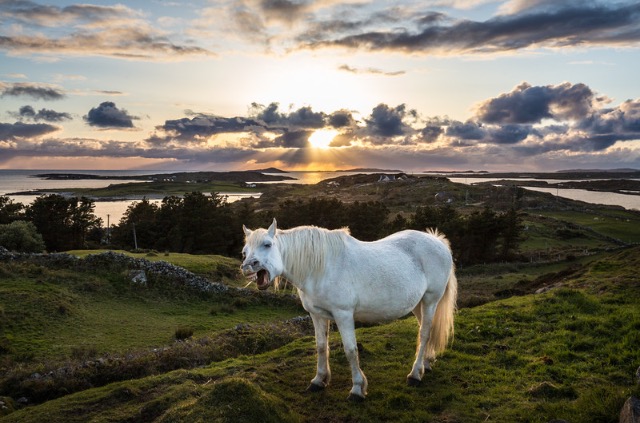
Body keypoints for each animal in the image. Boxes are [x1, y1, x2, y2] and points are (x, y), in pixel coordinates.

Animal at [240, 220, 456, 402]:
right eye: (244, 251)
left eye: (267, 244)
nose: (248, 266)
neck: (320, 268)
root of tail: (437, 241)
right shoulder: (316, 315)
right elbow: (321, 346)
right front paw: (318, 380)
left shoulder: (343, 315)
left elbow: (350, 350)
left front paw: (357, 389)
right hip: (418, 305)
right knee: (426, 332)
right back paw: (426, 363)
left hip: (430, 300)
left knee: (425, 333)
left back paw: (415, 374)